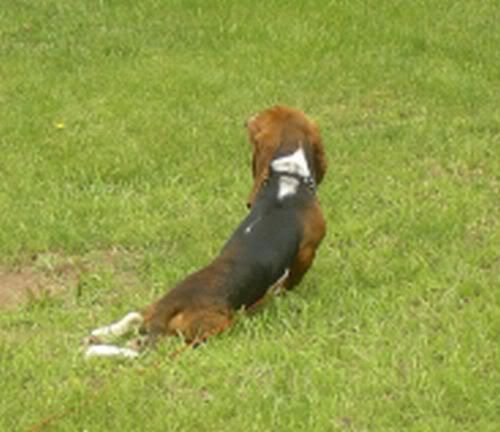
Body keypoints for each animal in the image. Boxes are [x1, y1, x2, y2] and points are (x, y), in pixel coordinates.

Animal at [84, 106, 327, 358]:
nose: (246, 120)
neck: (289, 177)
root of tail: (169, 308)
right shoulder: (307, 252)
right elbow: (291, 280)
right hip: (211, 331)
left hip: (157, 307)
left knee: (134, 316)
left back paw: (100, 335)